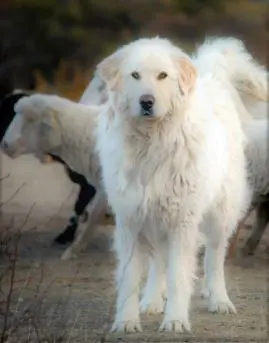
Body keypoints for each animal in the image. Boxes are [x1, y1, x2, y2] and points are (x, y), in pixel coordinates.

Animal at [95, 37, 250, 334]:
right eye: (135, 75)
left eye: (162, 76)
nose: (146, 101)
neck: (152, 144)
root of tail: (211, 76)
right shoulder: (131, 219)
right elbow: (130, 278)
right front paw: (127, 321)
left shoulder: (182, 221)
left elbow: (179, 276)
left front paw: (176, 320)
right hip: (156, 218)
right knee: (159, 262)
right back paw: (153, 300)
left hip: (219, 216)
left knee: (214, 259)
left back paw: (219, 300)